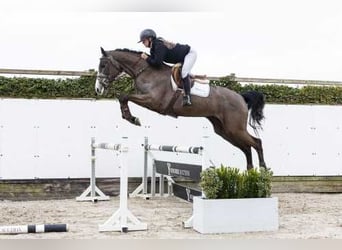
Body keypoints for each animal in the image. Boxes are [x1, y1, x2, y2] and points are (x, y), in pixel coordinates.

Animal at [95, 47, 266, 170]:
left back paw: (263, 168)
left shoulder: (153, 101)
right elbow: (123, 97)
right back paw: (250, 170)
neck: (146, 71)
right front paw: (129, 116)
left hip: (235, 128)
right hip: (224, 130)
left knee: (256, 142)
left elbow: (124, 96)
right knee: (246, 147)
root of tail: (241, 98)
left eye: (103, 65)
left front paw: (132, 118)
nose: (98, 89)